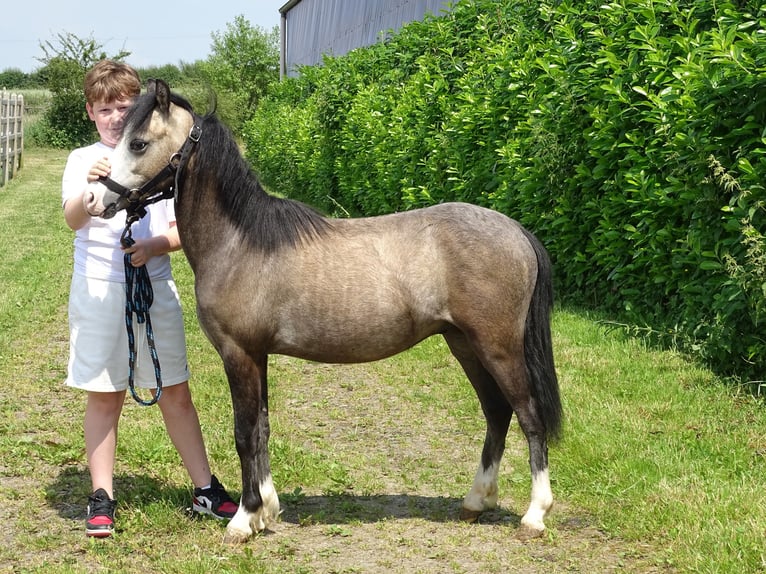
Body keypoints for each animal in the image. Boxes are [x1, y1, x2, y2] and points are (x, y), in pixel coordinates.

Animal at [88, 80, 564, 544]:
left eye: (138, 143)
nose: (94, 197)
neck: (240, 242)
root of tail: (516, 231)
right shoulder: (257, 355)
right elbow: (261, 429)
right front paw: (267, 511)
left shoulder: (239, 354)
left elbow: (244, 434)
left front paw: (244, 519)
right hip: (464, 343)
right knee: (497, 413)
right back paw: (475, 501)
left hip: (497, 347)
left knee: (528, 415)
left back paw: (535, 514)